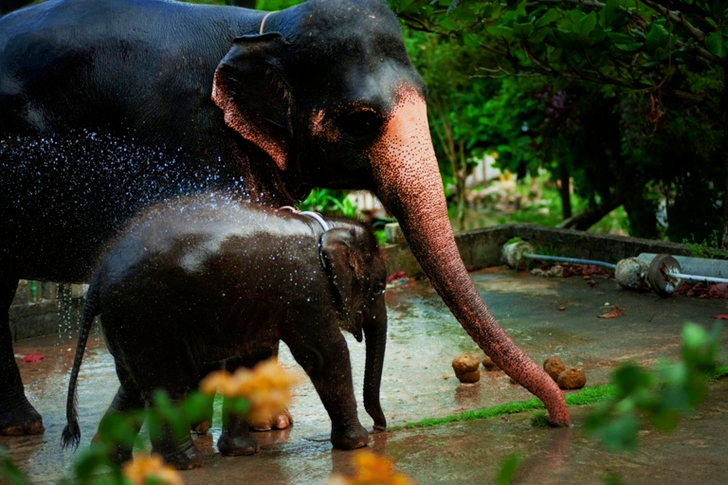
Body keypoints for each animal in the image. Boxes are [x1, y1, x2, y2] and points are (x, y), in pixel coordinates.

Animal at [0, 0, 569, 437]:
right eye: (361, 120)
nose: (556, 419)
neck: (259, 29)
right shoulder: (188, 141)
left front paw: (269, 427)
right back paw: (25, 427)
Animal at [61, 192, 388, 469]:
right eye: (379, 287)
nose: (381, 427)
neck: (322, 228)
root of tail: (98, 277)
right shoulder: (306, 291)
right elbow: (324, 354)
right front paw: (358, 444)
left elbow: (249, 362)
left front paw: (242, 451)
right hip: (148, 316)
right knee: (167, 383)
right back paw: (187, 464)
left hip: (129, 324)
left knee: (132, 386)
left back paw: (112, 461)